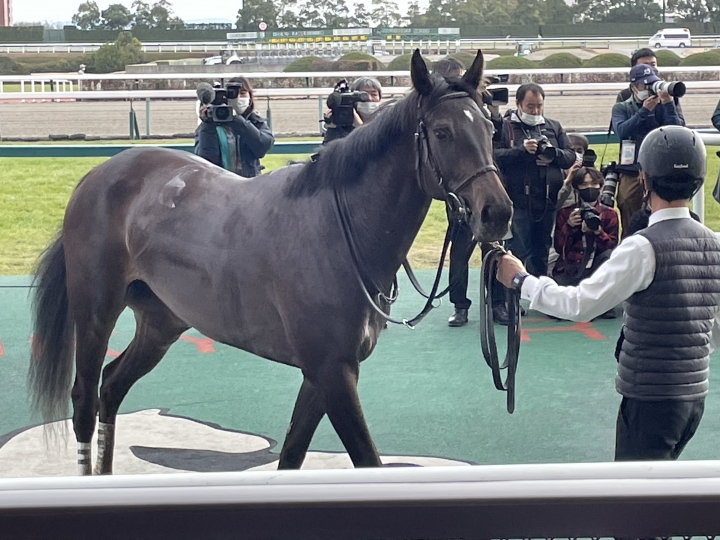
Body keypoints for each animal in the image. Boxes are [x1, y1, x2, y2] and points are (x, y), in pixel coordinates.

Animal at [29, 50, 513, 475]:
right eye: (443, 131)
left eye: (490, 126)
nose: (497, 212)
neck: (341, 231)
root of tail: (97, 176)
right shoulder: (332, 371)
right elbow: (365, 460)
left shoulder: (323, 374)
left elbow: (292, 454)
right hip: (95, 311)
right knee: (85, 400)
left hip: (162, 321)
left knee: (111, 388)